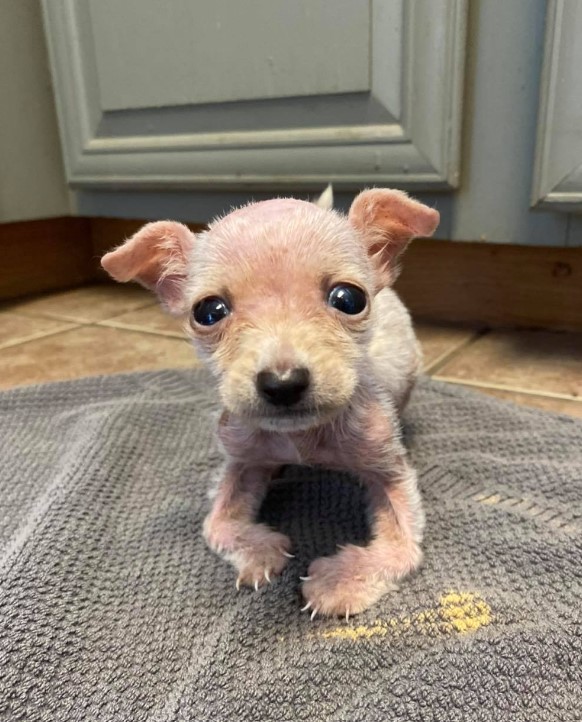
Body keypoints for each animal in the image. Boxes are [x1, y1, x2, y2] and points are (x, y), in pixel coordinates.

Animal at [101, 188, 438, 616]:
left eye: (349, 299)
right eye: (208, 311)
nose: (283, 383)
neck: (302, 438)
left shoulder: (389, 471)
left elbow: (400, 549)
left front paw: (341, 580)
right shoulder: (242, 459)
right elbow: (217, 525)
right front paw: (259, 552)